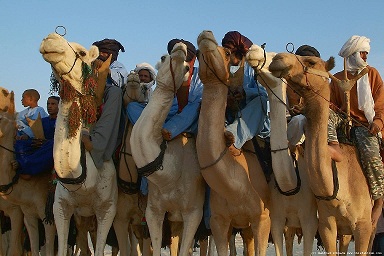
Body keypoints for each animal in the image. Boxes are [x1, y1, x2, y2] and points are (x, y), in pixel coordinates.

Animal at [39, 32, 118, 256]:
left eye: (82, 53)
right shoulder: (61, 207)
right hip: (81, 218)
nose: (51, 38)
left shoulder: (107, 209)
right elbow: (61, 249)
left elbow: (99, 251)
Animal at [246, 45, 318, 255]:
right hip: (290, 226)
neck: (290, 183)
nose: (252, 50)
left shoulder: (310, 221)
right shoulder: (277, 220)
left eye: (275, 56)